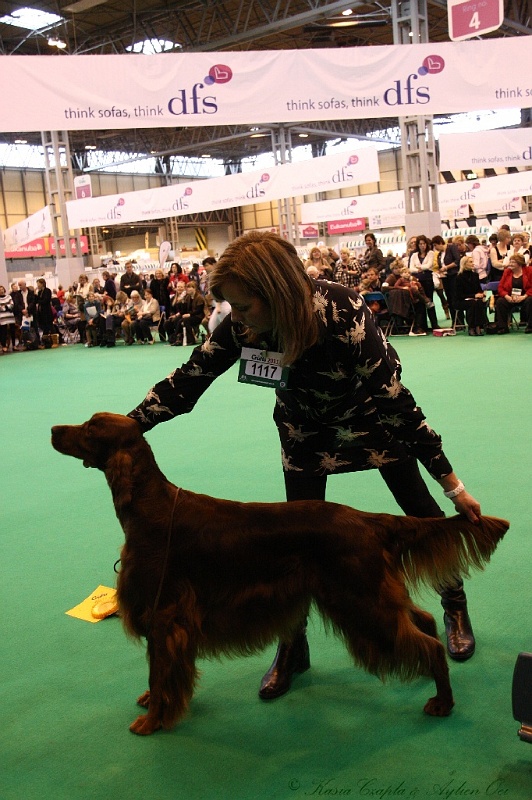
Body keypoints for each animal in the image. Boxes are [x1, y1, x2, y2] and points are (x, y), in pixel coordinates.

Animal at [52, 416, 510, 736]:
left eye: (90, 427)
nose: (54, 429)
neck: (151, 506)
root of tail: (368, 519)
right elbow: (158, 669)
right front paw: (152, 703)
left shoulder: (163, 613)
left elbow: (159, 669)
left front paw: (153, 721)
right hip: (371, 594)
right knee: (426, 621)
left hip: (362, 602)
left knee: (428, 645)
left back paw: (443, 703)